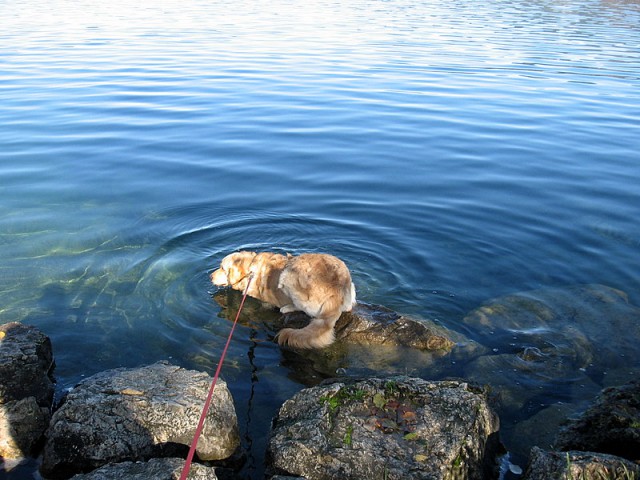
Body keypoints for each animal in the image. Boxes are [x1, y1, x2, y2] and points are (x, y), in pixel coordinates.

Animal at [211, 251, 358, 348]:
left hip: (288, 274)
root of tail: (337, 289)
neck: (250, 270)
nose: (210, 276)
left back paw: (286, 307)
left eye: (222, 268)